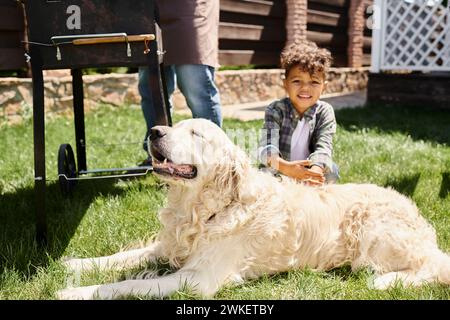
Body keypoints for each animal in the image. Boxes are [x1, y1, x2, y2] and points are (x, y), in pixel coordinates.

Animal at [58, 119, 450, 298]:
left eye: (196, 134)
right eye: (175, 126)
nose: (154, 131)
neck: (203, 211)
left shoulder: (199, 278)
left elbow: (126, 285)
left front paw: (74, 292)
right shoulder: (167, 246)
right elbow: (122, 258)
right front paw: (74, 265)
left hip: (375, 240)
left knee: (430, 266)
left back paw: (386, 281)